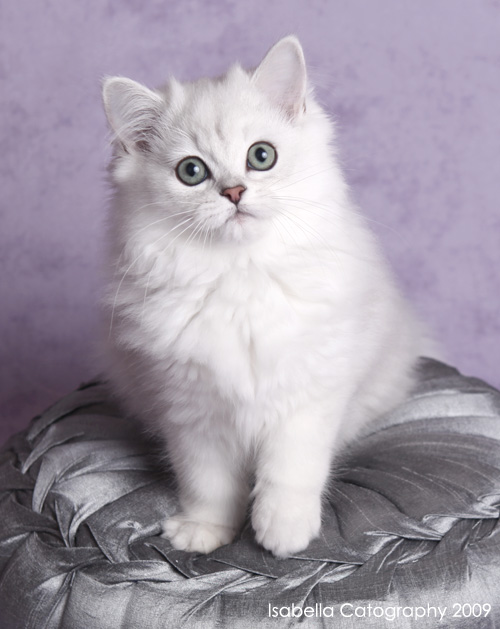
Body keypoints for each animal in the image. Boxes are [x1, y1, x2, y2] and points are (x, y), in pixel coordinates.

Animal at [102, 35, 434, 556]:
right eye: (191, 171)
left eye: (261, 156)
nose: (234, 192)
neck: (240, 276)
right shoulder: (191, 411)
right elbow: (208, 484)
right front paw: (206, 532)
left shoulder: (308, 393)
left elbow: (290, 469)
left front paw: (283, 531)